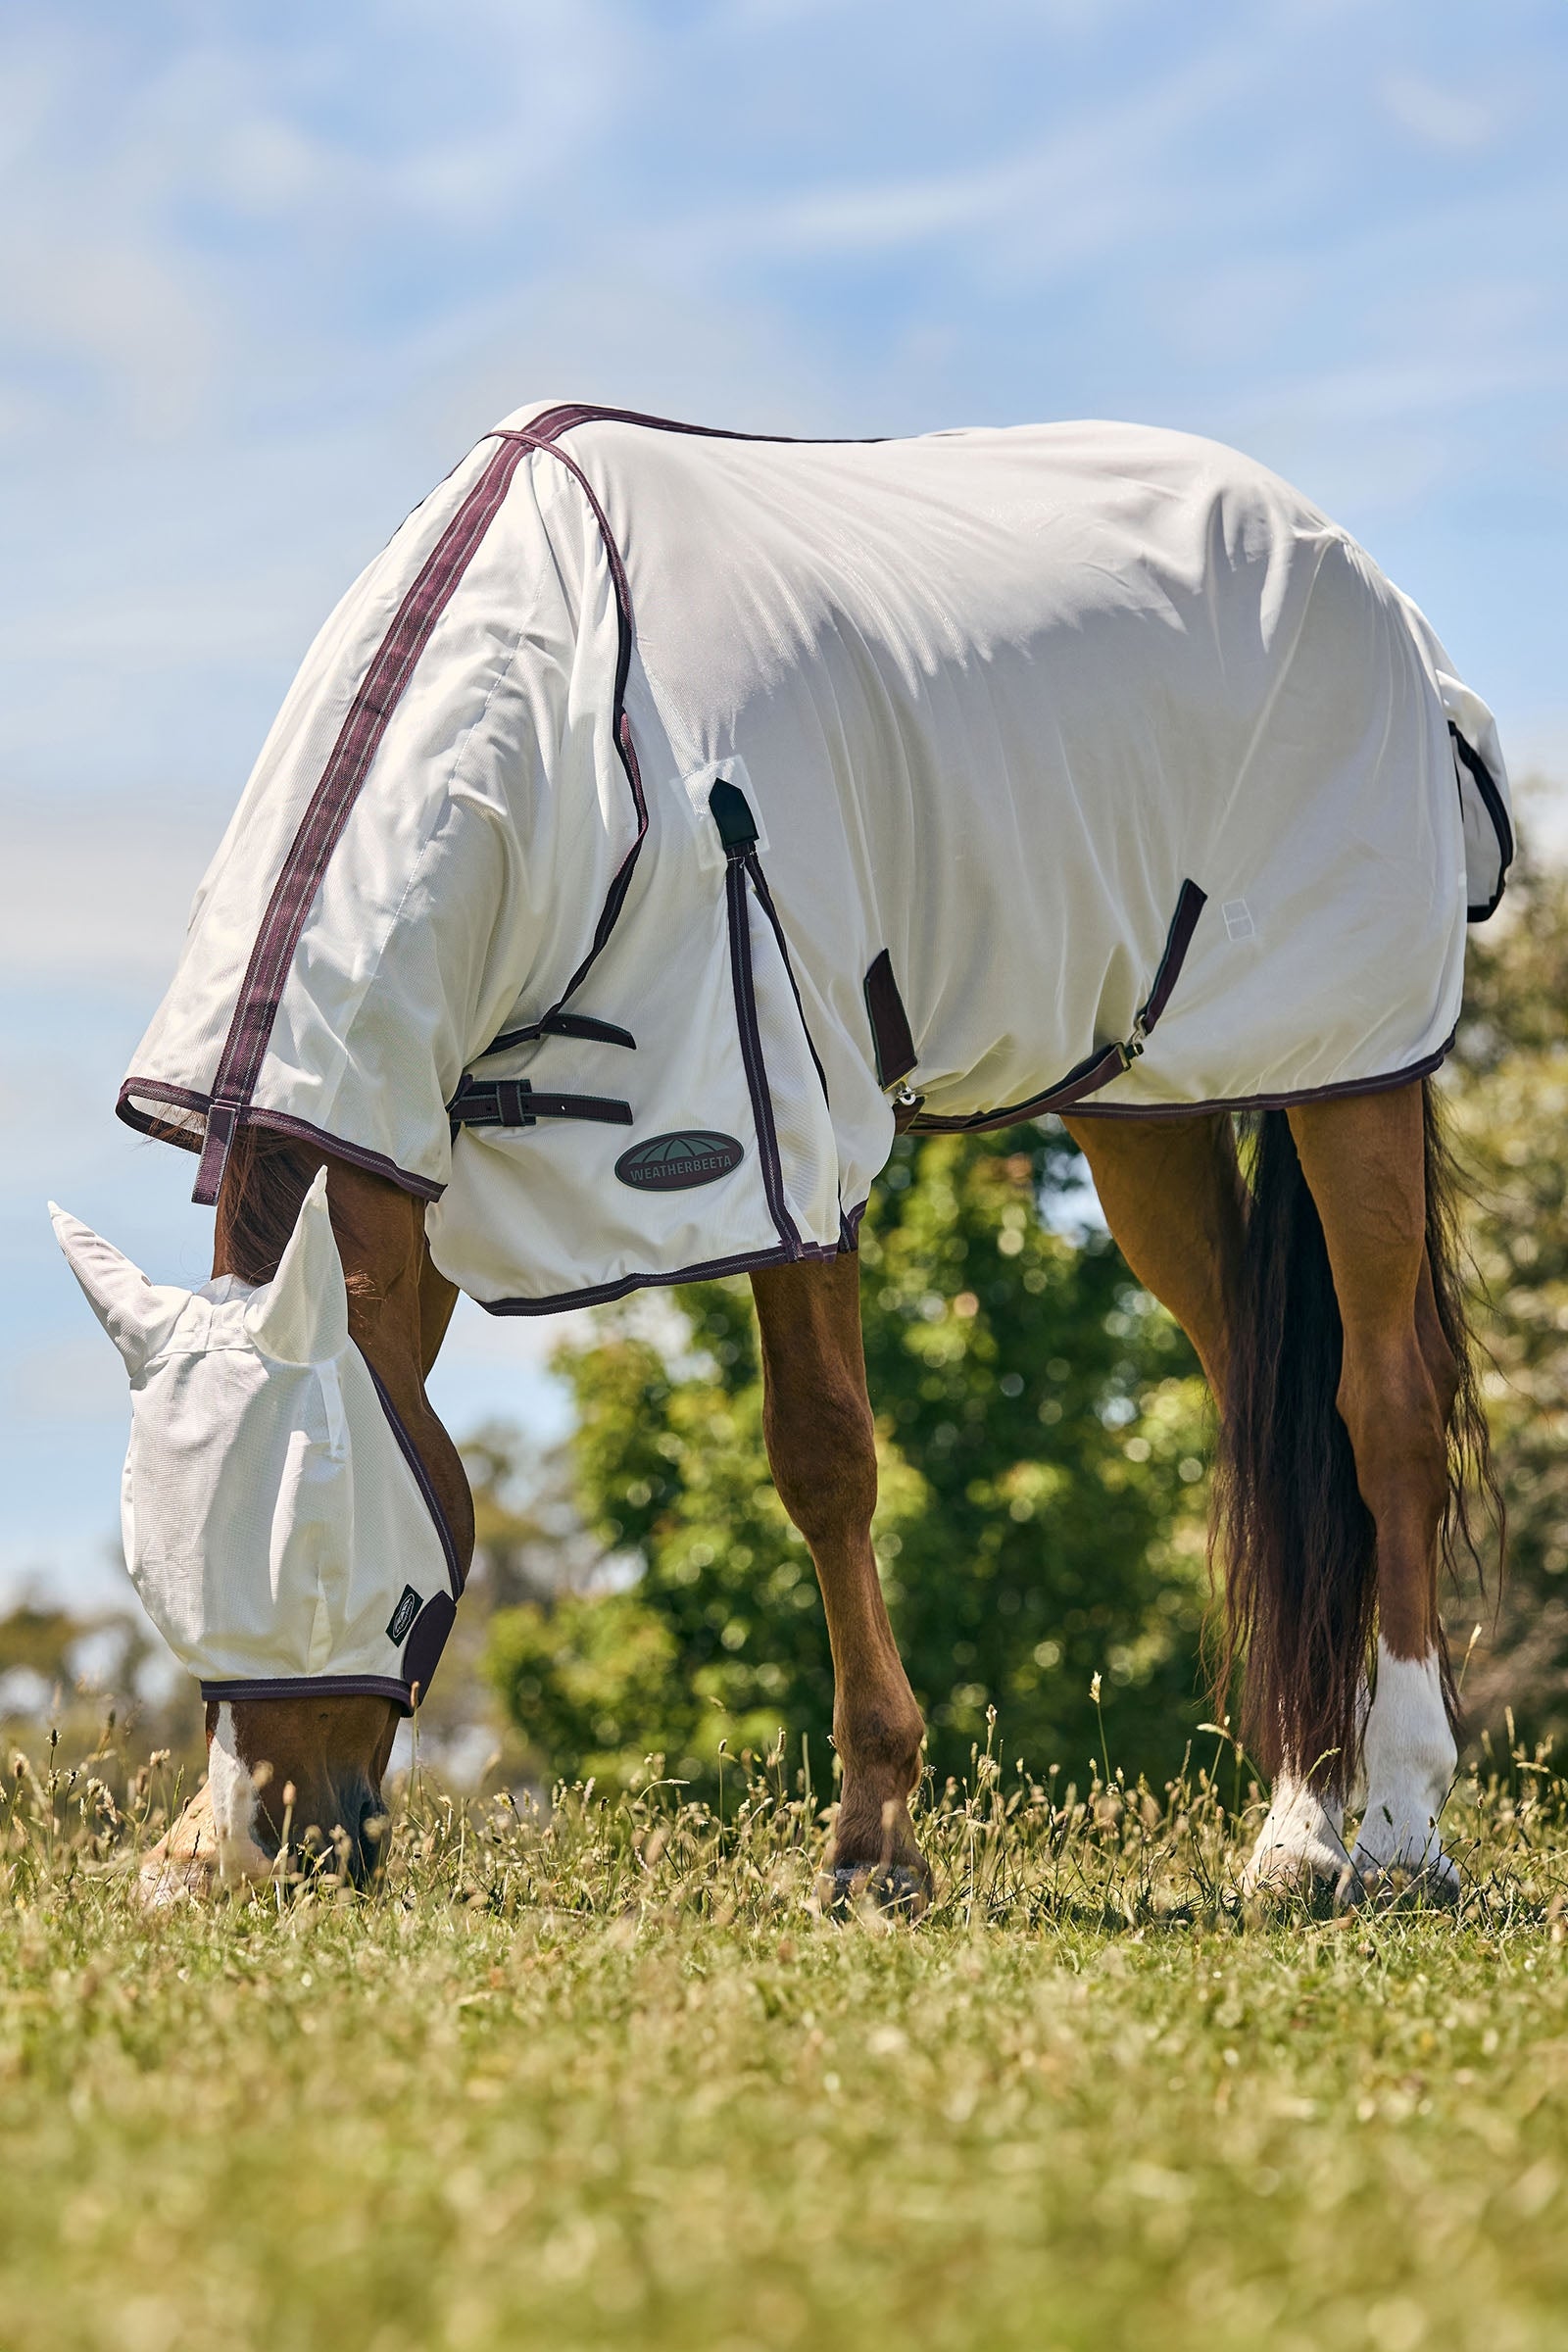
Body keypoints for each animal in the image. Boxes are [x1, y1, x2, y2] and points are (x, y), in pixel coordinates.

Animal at [54, 403, 1509, 1903]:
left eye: (323, 1551)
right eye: (161, 1572)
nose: (261, 1850)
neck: (572, 723)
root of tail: (1350, 570)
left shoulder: (782, 1132)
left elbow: (823, 1460)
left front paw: (874, 1837)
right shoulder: (412, 1132)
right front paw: (177, 1848)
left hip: (1348, 1070)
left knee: (1384, 1404)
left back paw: (1398, 1824)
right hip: (1149, 1106)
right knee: (1260, 1410)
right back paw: (1298, 1824)